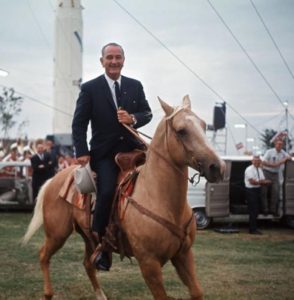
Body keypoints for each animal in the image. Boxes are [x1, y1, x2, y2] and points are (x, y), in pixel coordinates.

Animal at [22, 95, 225, 298]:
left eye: (204, 125)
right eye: (181, 131)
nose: (217, 167)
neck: (161, 199)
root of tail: (54, 179)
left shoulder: (184, 254)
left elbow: (197, 292)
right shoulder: (149, 264)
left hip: (89, 236)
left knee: (88, 264)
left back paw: (100, 294)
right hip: (57, 234)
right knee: (43, 255)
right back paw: (48, 293)